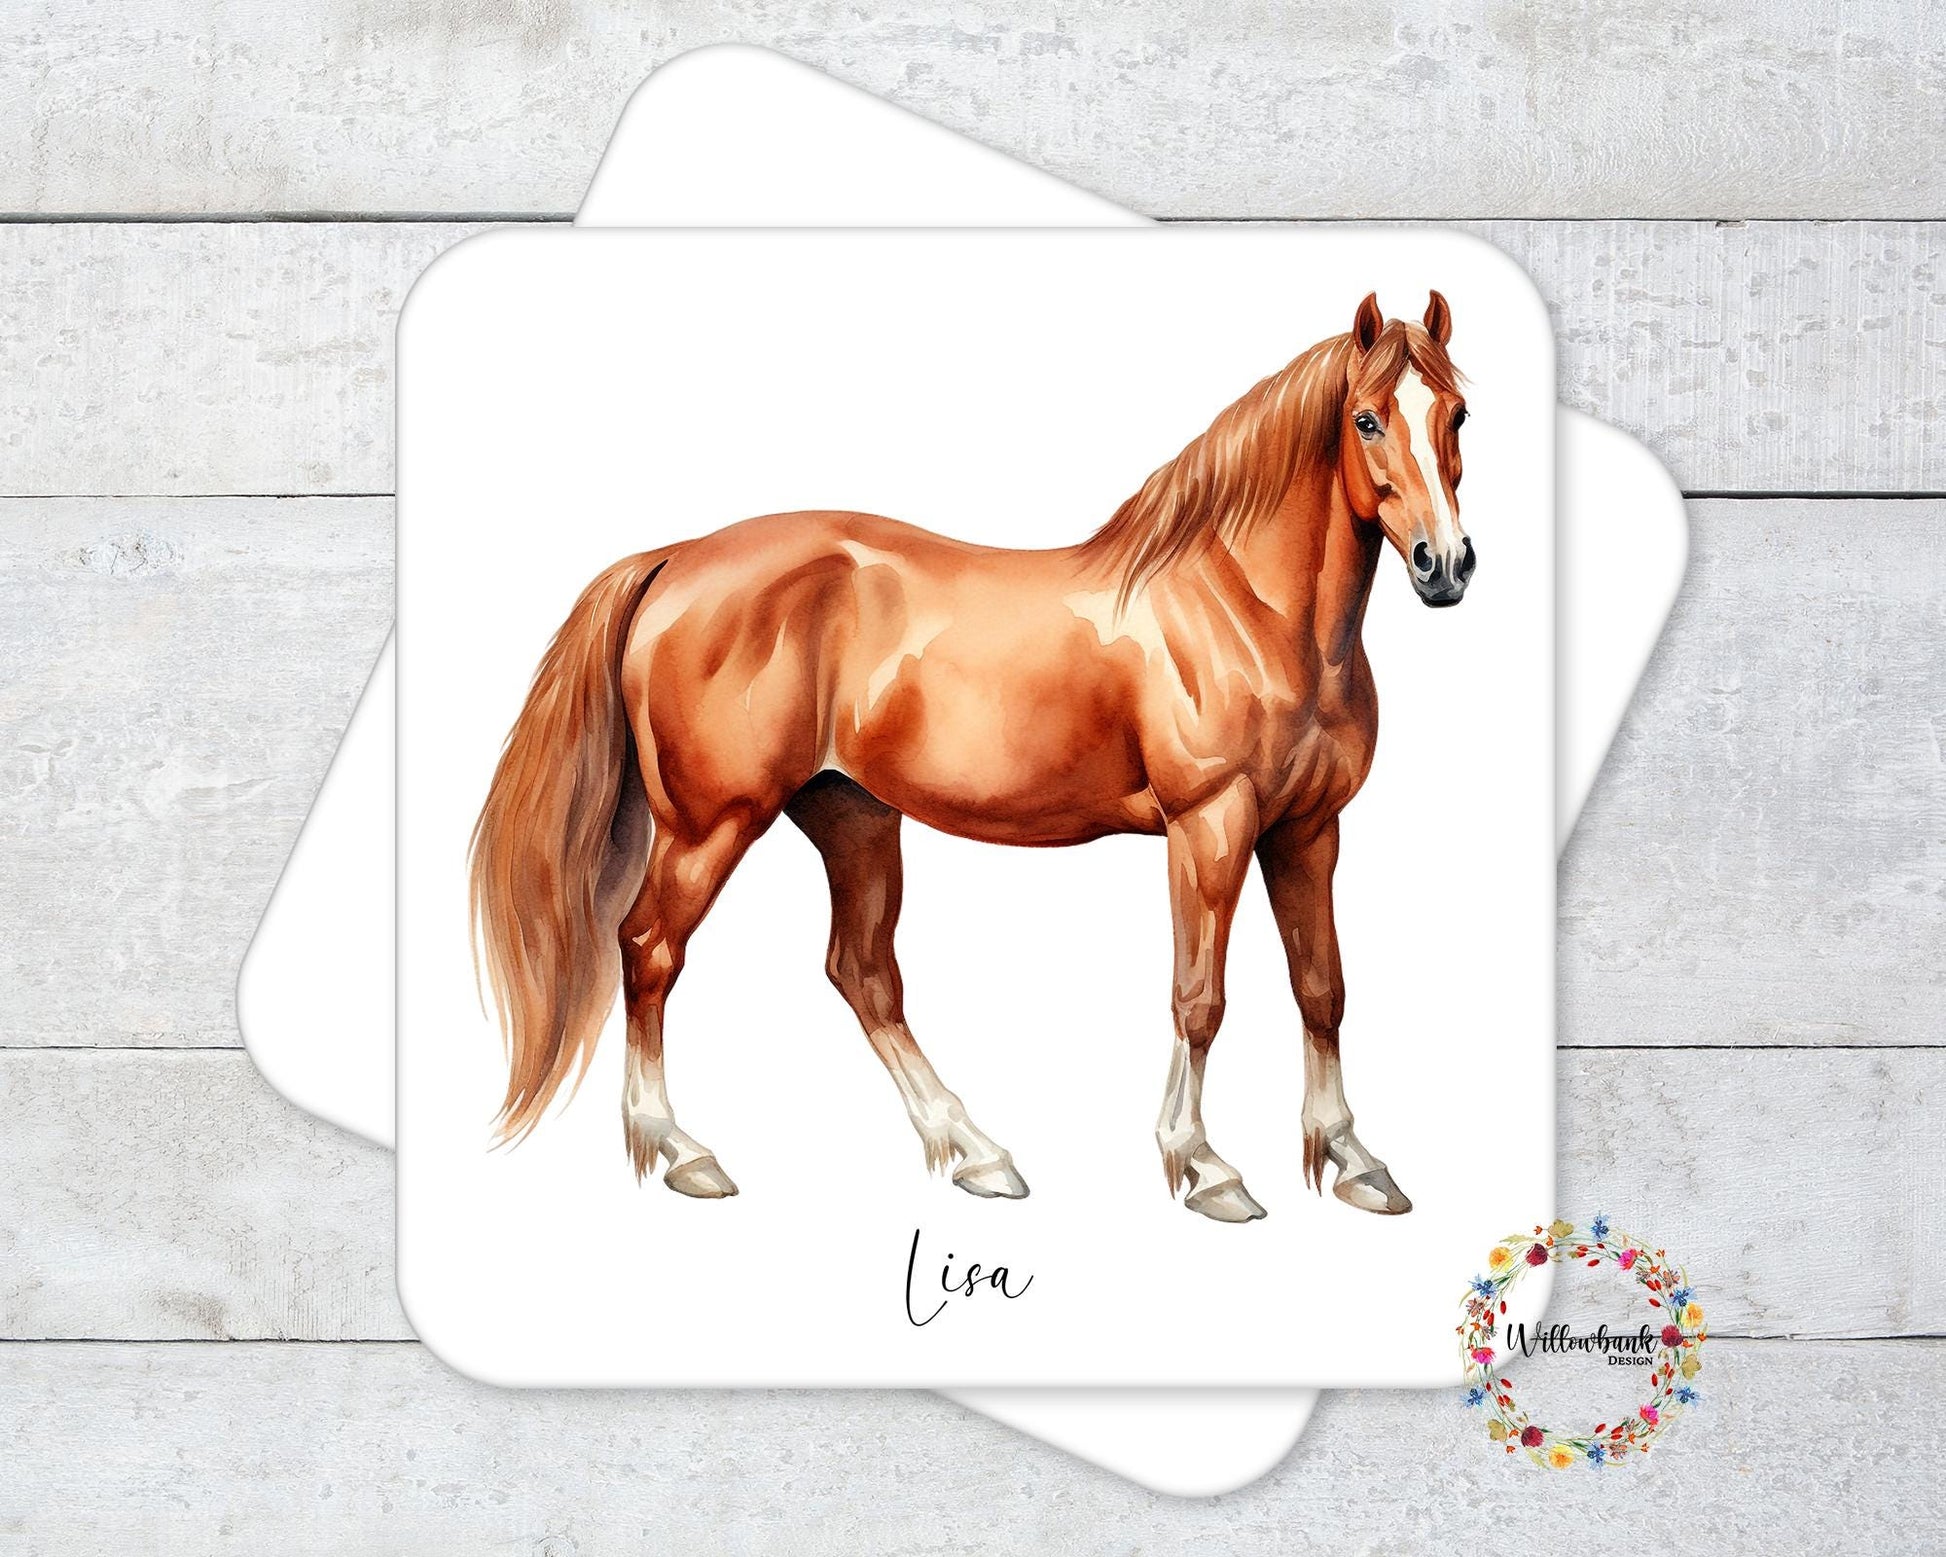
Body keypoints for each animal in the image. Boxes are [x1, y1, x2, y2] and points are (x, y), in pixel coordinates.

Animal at [469, 291, 1473, 1224]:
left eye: (1458, 412)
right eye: (1367, 418)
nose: (1446, 565)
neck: (1246, 607)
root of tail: (672, 560)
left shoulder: (1308, 829)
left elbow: (1322, 986)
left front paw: (1355, 1161)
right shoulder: (1211, 826)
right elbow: (1200, 998)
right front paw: (1205, 1167)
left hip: (850, 813)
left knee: (862, 973)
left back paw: (976, 1151)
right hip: (710, 826)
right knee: (650, 950)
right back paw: (682, 1151)